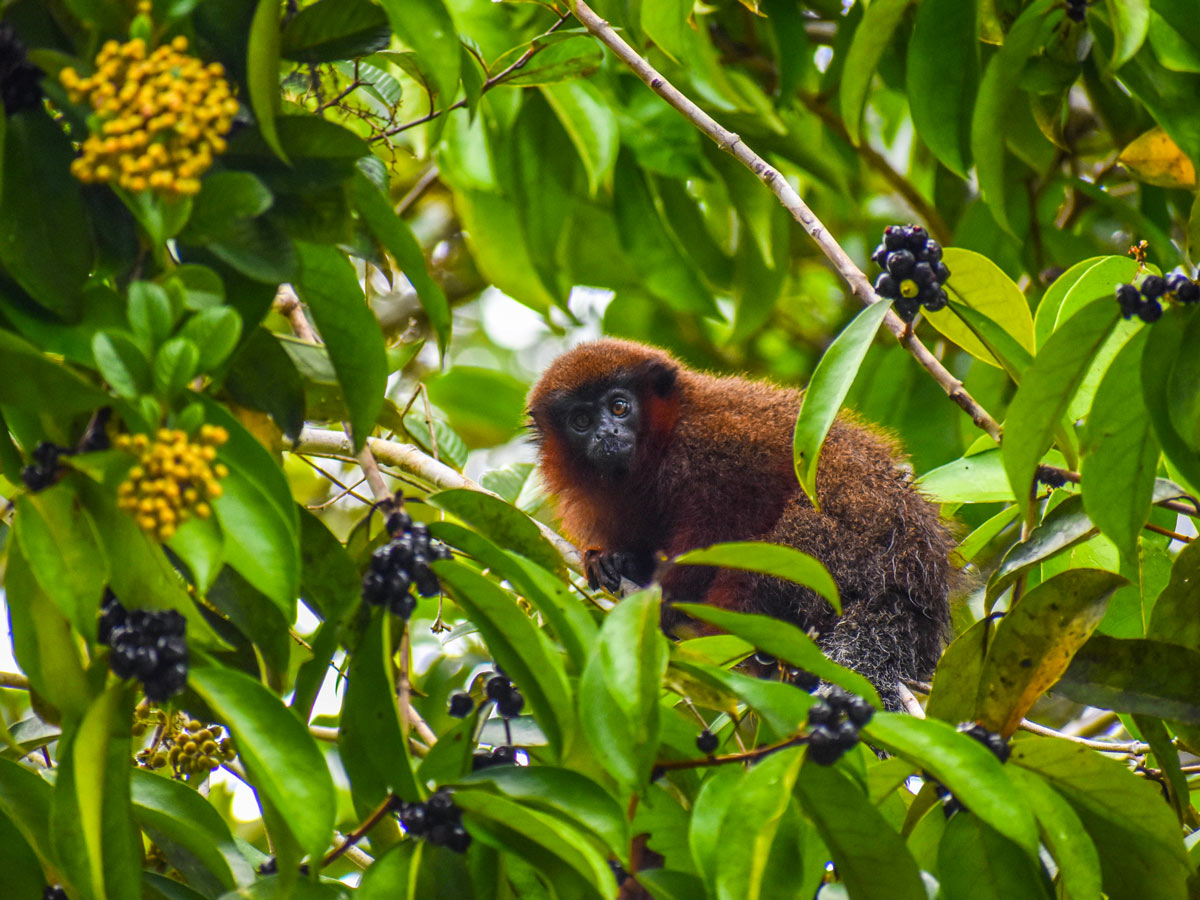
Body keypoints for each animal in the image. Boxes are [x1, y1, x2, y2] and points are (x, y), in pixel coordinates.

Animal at [528, 338, 955, 710]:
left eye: (619, 407)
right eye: (581, 420)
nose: (606, 433)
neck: (661, 444)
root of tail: (919, 583)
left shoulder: (717, 445)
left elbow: (727, 519)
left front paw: (666, 595)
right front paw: (614, 559)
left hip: (856, 550)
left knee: (791, 537)